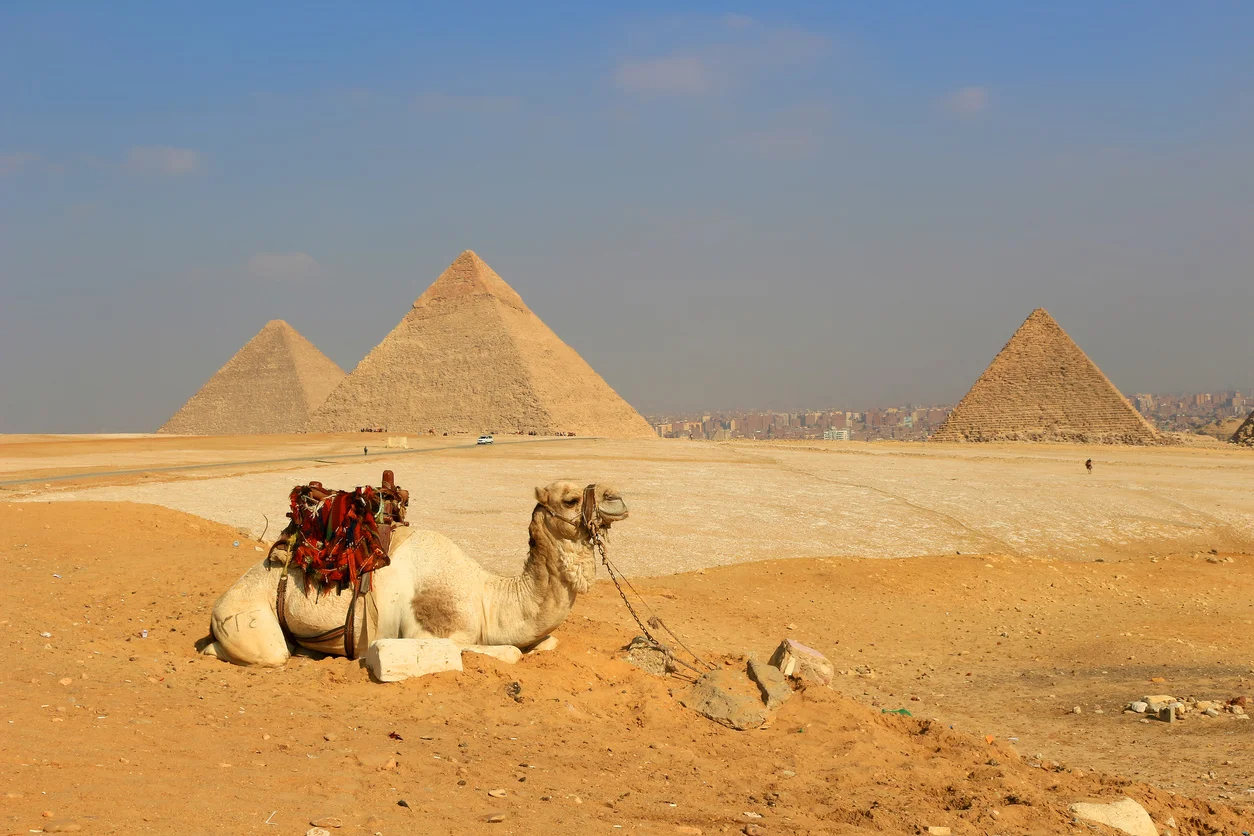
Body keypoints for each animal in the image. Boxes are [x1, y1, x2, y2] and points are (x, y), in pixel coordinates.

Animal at [198, 480, 628, 667]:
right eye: (569, 499)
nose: (616, 498)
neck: (486, 597)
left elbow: (546, 642)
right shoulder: (429, 632)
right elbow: (507, 653)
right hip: (246, 619)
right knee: (268, 652)